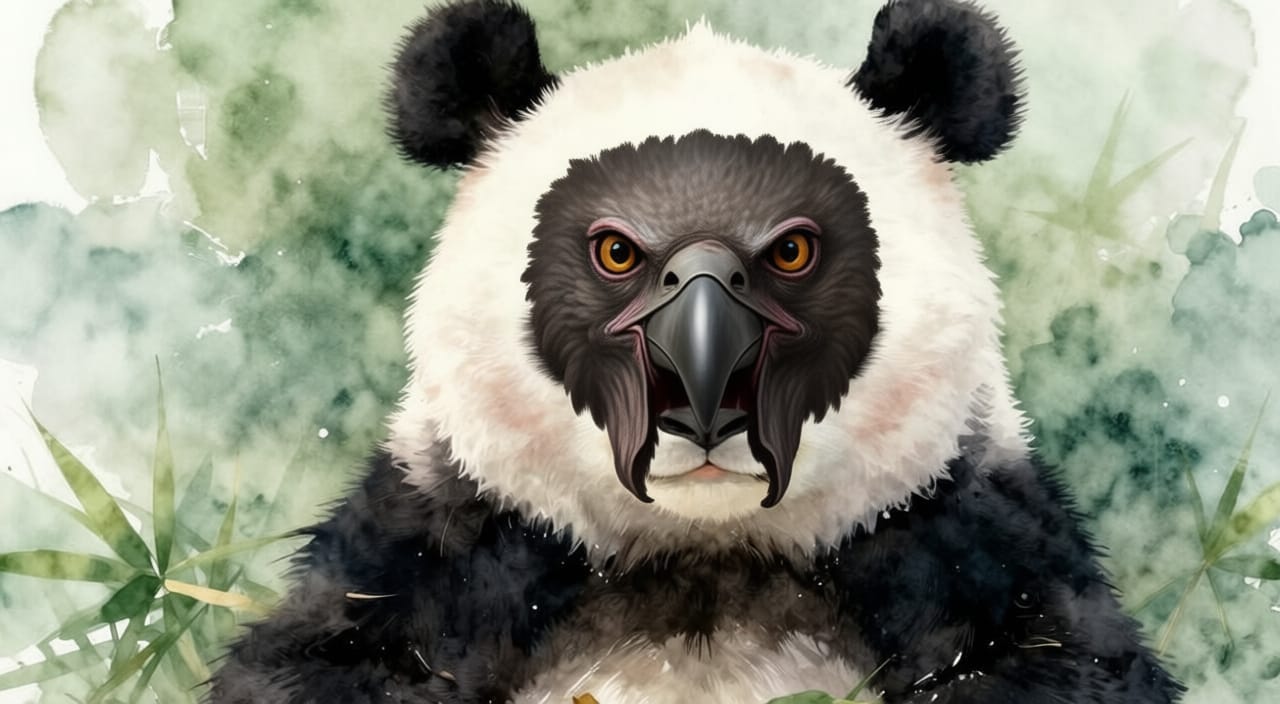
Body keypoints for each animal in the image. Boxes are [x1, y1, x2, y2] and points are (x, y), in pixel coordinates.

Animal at [210, 0, 1184, 702]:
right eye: (616, 252)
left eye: (792, 251)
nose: (705, 402)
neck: (704, 563)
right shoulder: (445, 540)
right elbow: (321, 663)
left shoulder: (962, 534)